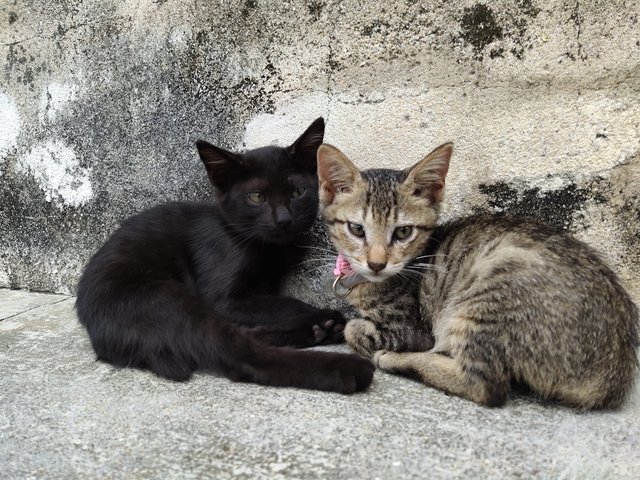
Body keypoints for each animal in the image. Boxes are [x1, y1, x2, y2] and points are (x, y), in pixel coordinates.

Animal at [75, 120, 376, 394]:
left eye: (298, 192)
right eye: (256, 197)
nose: (283, 219)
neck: (264, 246)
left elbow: (271, 303)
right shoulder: (222, 297)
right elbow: (284, 303)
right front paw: (320, 313)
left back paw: (319, 330)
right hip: (165, 297)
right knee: (239, 354)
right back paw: (342, 363)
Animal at [318, 142, 636, 408]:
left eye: (403, 232)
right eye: (357, 229)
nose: (376, 264)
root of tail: (612, 376)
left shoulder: (411, 328)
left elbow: (354, 329)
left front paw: (365, 336)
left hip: (490, 289)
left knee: (485, 386)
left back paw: (399, 360)